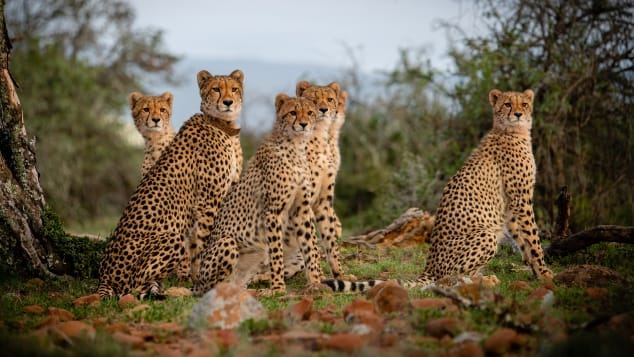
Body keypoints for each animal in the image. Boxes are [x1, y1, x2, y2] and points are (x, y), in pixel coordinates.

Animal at [97, 69, 243, 298]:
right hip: (170, 240)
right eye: (216, 89)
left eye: (234, 89)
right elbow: (205, 241)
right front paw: (203, 278)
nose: (228, 102)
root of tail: (104, 274)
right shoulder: (207, 202)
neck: (221, 124)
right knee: (133, 288)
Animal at [191, 94, 320, 294]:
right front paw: (278, 289)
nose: (304, 124)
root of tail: (196, 282)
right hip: (228, 243)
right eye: (293, 112)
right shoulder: (273, 212)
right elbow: (276, 253)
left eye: (310, 112)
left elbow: (310, 247)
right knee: (213, 287)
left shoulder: (301, 210)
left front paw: (316, 282)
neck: (296, 146)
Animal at [324, 87, 552, 290]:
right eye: (507, 104)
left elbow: (524, 240)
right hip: (485, 234)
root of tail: (429, 267)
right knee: (449, 277)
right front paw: (545, 272)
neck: (512, 131)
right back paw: (484, 280)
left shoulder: (513, 204)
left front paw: (536, 270)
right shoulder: (521, 198)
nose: (518, 114)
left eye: (524, 104)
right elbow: (533, 237)